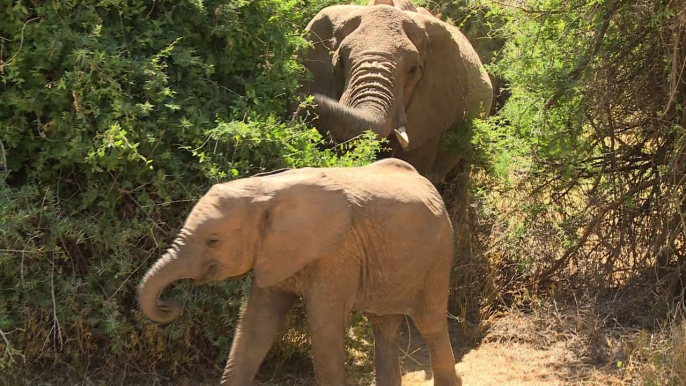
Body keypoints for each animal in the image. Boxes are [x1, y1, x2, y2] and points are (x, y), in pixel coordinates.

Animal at [138, 158, 462, 386]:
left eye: (213, 241)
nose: (170, 304)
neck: (265, 192)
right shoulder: (273, 252)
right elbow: (257, 323)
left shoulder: (336, 253)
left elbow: (323, 325)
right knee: (385, 327)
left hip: (439, 250)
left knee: (430, 323)